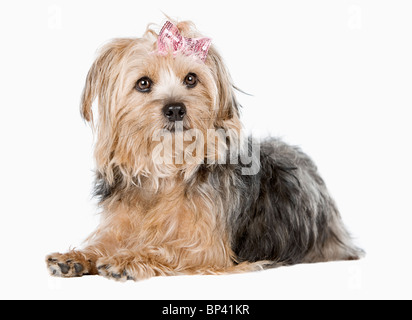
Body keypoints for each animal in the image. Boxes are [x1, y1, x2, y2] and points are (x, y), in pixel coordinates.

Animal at [45, 20, 364, 282]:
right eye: (143, 83)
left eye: (191, 79)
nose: (175, 108)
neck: (167, 168)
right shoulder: (120, 225)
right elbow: (106, 243)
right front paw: (77, 256)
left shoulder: (206, 249)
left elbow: (167, 248)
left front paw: (129, 258)